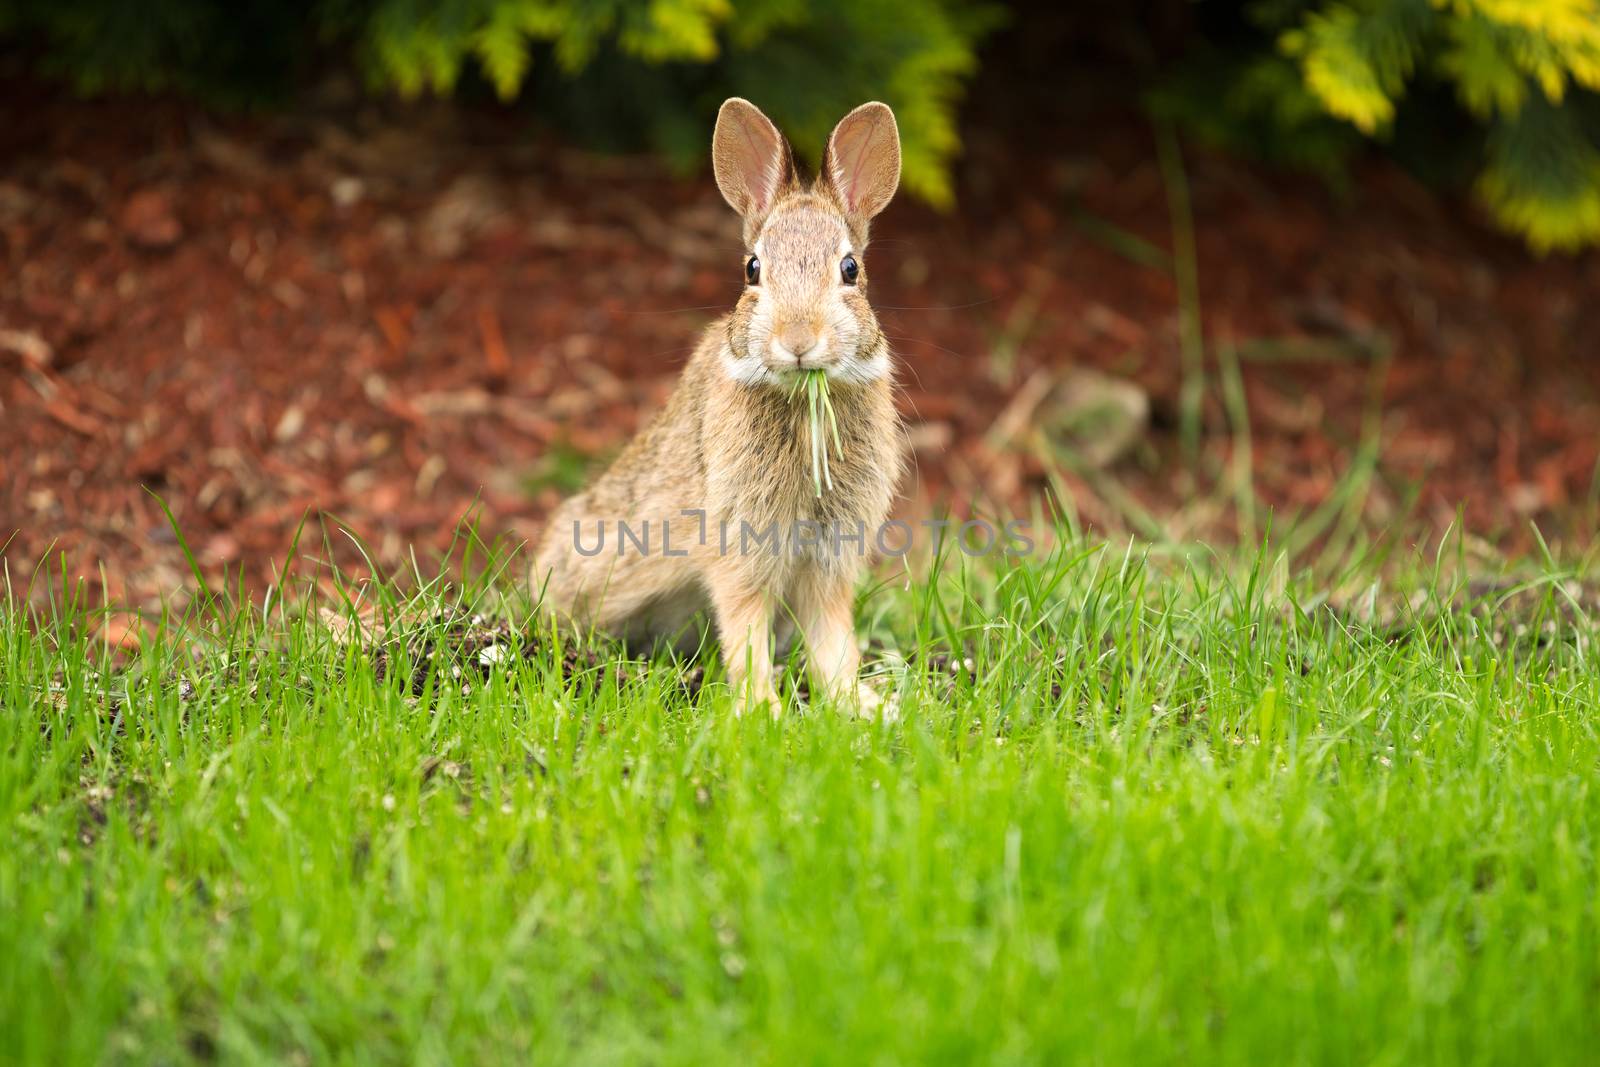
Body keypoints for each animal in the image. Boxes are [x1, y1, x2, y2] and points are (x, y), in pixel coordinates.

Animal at [537, 97, 908, 716]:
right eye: (752, 269)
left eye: (850, 269)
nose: (798, 339)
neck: (803, 400)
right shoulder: (740, 544)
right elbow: (744, 625)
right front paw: (764, 711)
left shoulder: (830, 555)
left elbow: (832, 638)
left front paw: (861, 706)